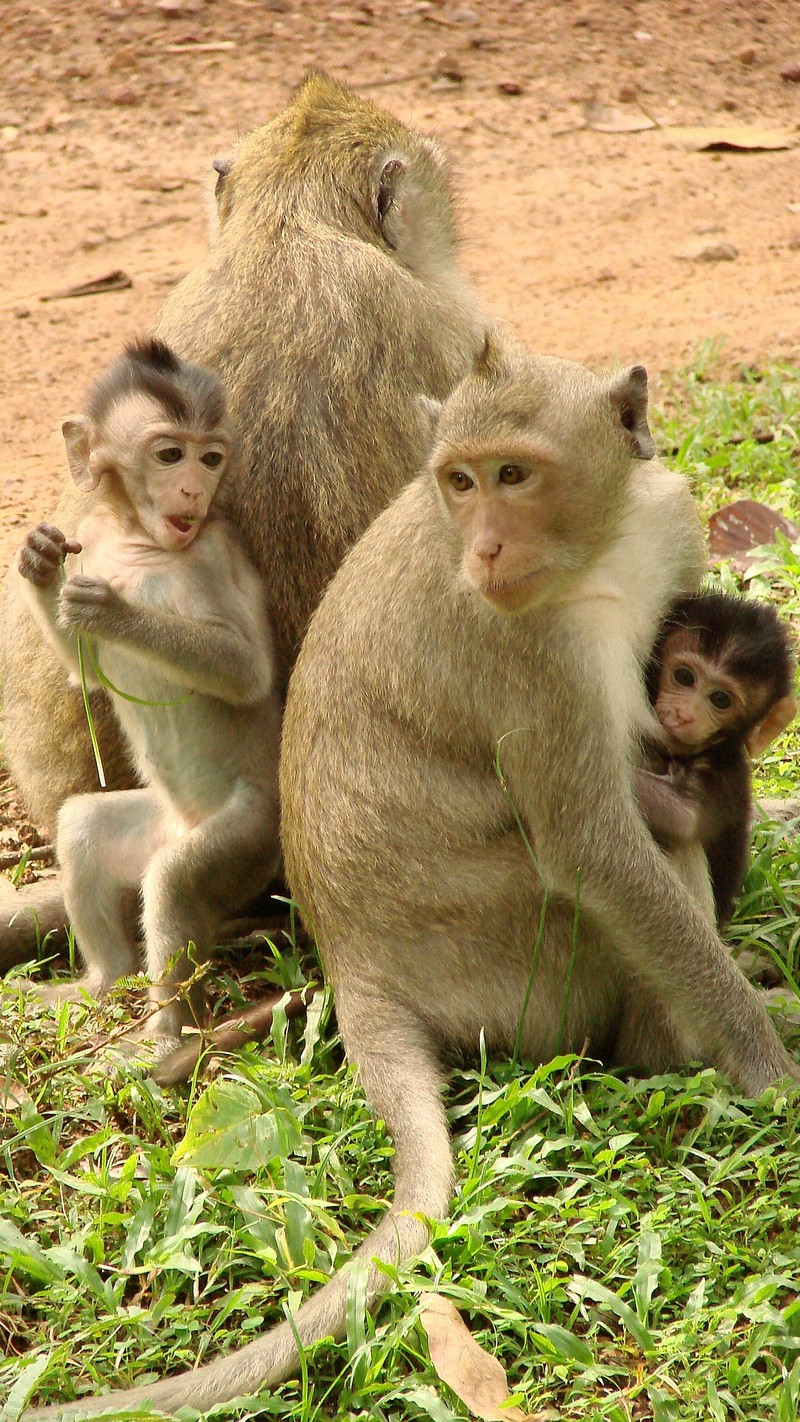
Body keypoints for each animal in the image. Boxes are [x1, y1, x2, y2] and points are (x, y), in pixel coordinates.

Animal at [15, 335, 281, 1057]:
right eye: (169, 455)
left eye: (209, 457)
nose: (194, 487)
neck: (141, 542)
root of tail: (183, 822)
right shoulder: (96, 542)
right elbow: (83, 675)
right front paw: (39, 564)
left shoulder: (217, 549)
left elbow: (247, 671)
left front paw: (114, 611)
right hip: (152, 823)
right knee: (83, 827)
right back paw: (101, 983)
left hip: (249, 834)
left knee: (172, 883)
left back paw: (165, 1034)